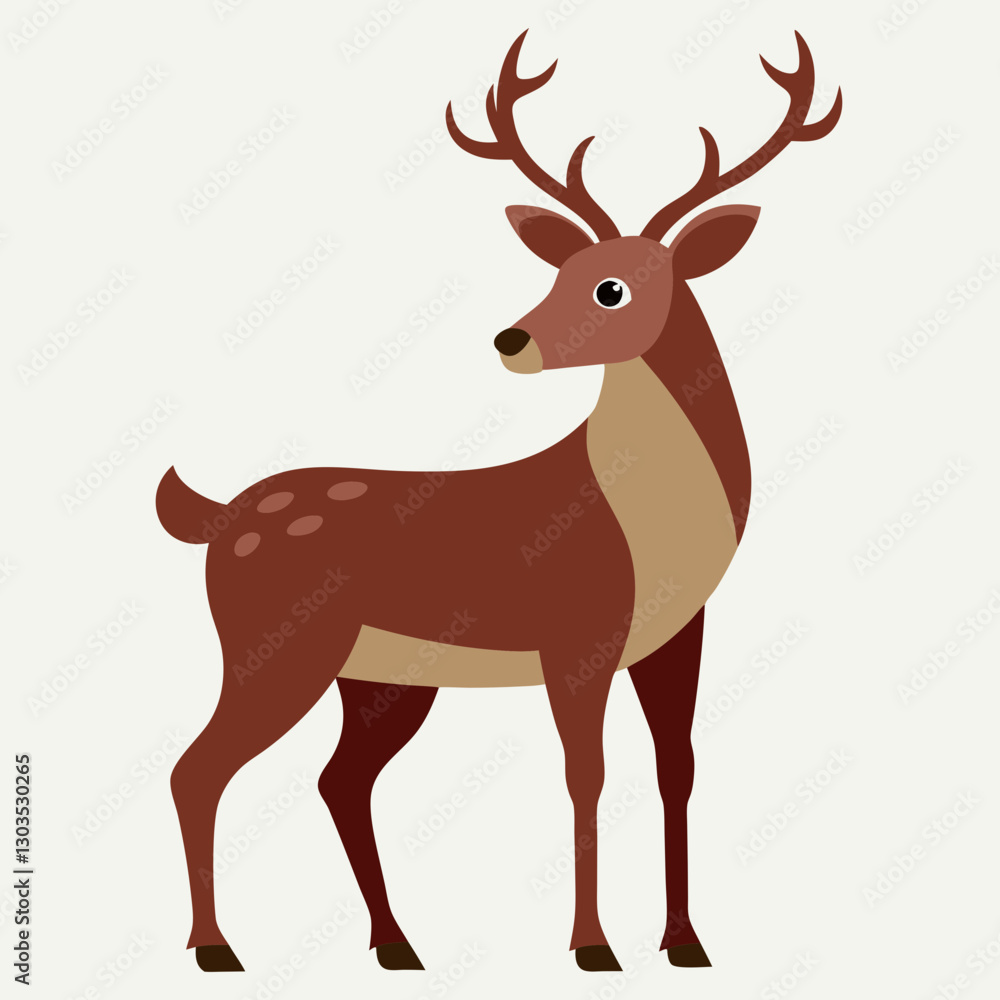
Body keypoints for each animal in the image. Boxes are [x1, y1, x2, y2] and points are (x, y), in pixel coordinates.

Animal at [158, 28, 841, 975]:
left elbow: (677, 766)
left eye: (611, 288)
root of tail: (218, 518)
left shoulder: (679, 633)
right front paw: (593, 947)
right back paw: (218, 948)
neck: (651, 528)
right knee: (198, 768)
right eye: (565, 270)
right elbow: (586, 773)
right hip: (275, 643)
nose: (511, 339)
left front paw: (686, 942)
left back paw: (395, 945)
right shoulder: (577, 630)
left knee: (337, 779)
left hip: (380, 674)